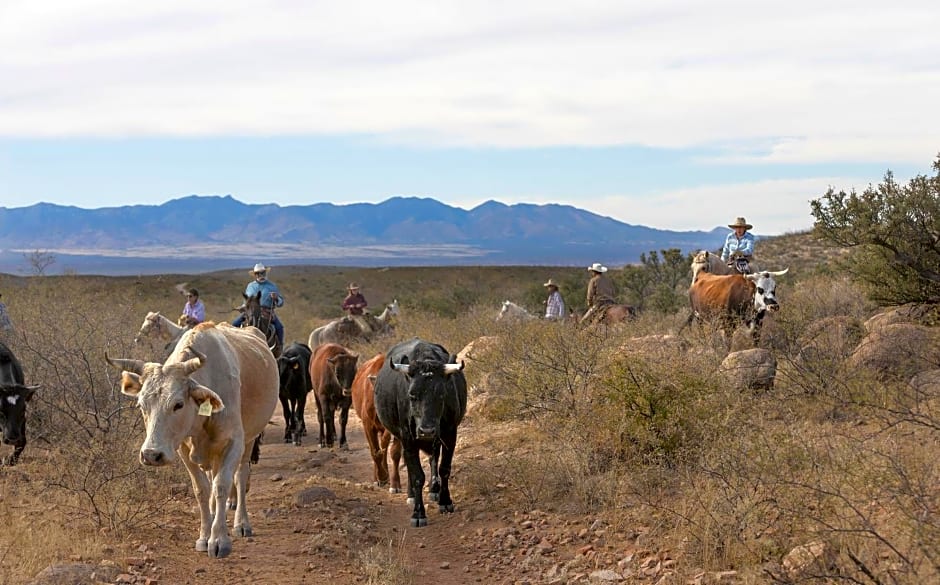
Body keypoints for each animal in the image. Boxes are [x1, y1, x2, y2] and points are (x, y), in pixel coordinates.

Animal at [106, 322, 278, 560]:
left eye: (178, 404)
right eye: (141, 404)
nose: (151, 454)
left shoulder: (235, 443)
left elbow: (222, 484)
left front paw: (219, 540)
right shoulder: (183, 449)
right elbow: (202, 489)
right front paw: (205, 536)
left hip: (251, 439)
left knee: (241, 475)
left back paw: (241, 523)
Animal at [348, 354, 400, 490]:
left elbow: (394, 452)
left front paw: (395, 484)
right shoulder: (368, 426)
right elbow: (375, 452)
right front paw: (381, 477)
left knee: (384, 448)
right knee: (377, 450)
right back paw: (378, 477)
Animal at [370, 338, 466, 524]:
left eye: (441, 394)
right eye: (412, 395)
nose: (426, 430)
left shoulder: (450, 435)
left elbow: (444, 469)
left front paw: (445, 501)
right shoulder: (408, 438)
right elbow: (417, 475)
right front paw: (418, 512)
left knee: (433, 459)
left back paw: (434, 490)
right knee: (409, 465)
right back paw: (412, 495)